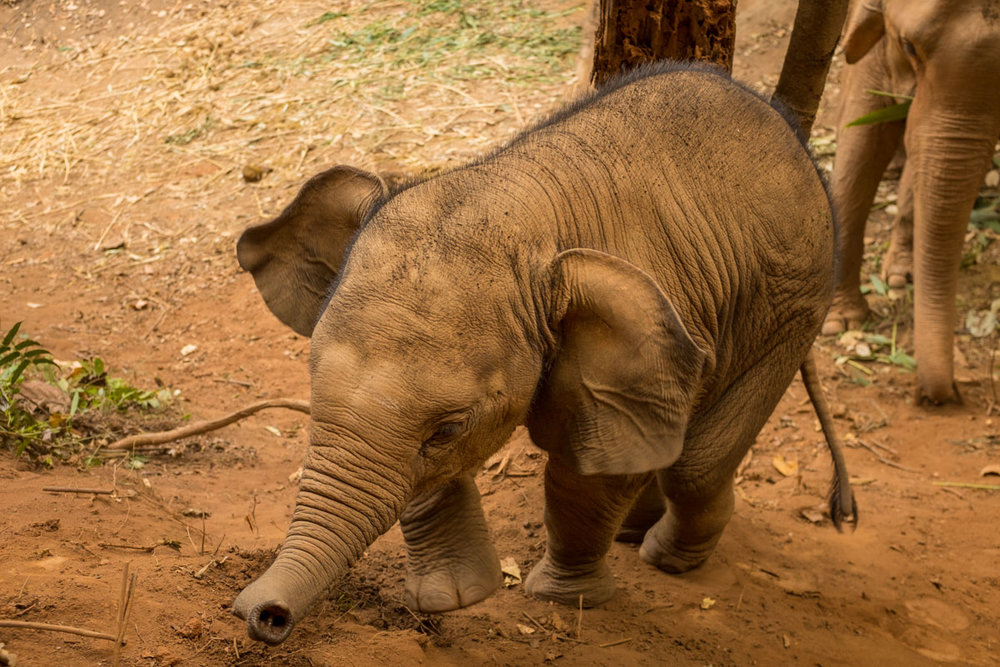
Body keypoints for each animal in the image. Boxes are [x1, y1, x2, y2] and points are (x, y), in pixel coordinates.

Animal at [232, 62, 852, 648]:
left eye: (447, 430)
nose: (263, 615)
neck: (523, 205)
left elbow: (588, 471)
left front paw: (558, 598)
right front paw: (452, 599)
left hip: (793, 308)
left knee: (696, 465)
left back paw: (664, 558)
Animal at [820, 0, 1000, 404]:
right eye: (909, 47)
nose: (949, 393)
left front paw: (903, 275)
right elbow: (863, 135)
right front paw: (839, 321)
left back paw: (901, 276)